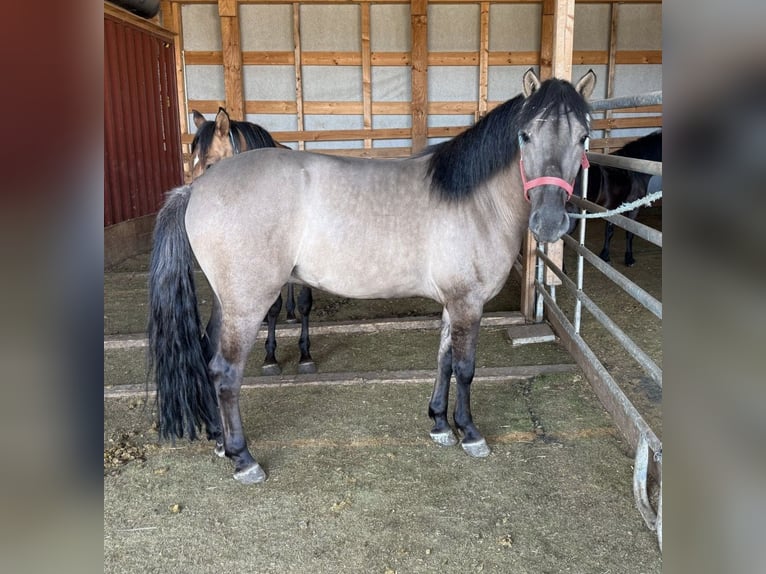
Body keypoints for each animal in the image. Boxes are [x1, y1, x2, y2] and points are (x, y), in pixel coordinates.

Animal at [572, 130, 662, 266]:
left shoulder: (612, 208)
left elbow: (609, 231)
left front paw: (605, 255)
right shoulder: (633, 208)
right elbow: (629, 233)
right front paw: (629, 258)